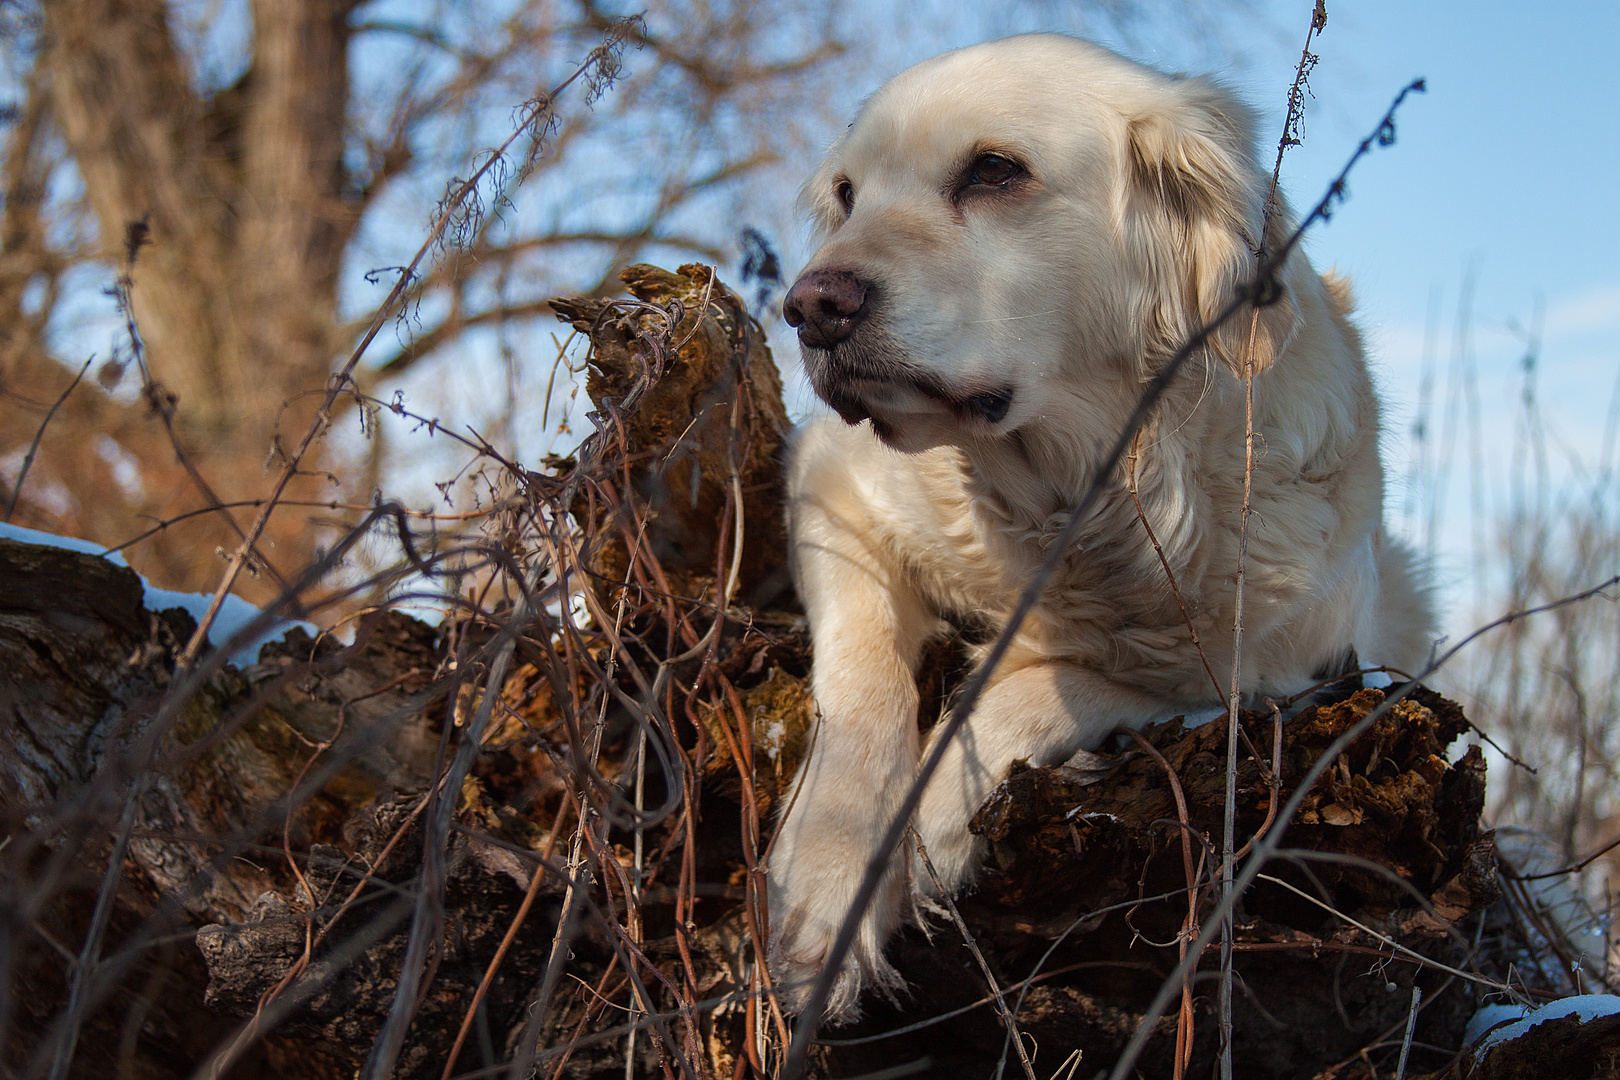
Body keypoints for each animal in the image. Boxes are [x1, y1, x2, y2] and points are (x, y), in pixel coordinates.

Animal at [767, 35, 1432, 1023]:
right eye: (848, 194)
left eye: (994, 171)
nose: (810, 306)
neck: (1071, 496)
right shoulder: (830, 484)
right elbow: (865, 678)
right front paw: (826, 882)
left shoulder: (1270, 669)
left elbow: (1040, 692)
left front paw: (933, 830)